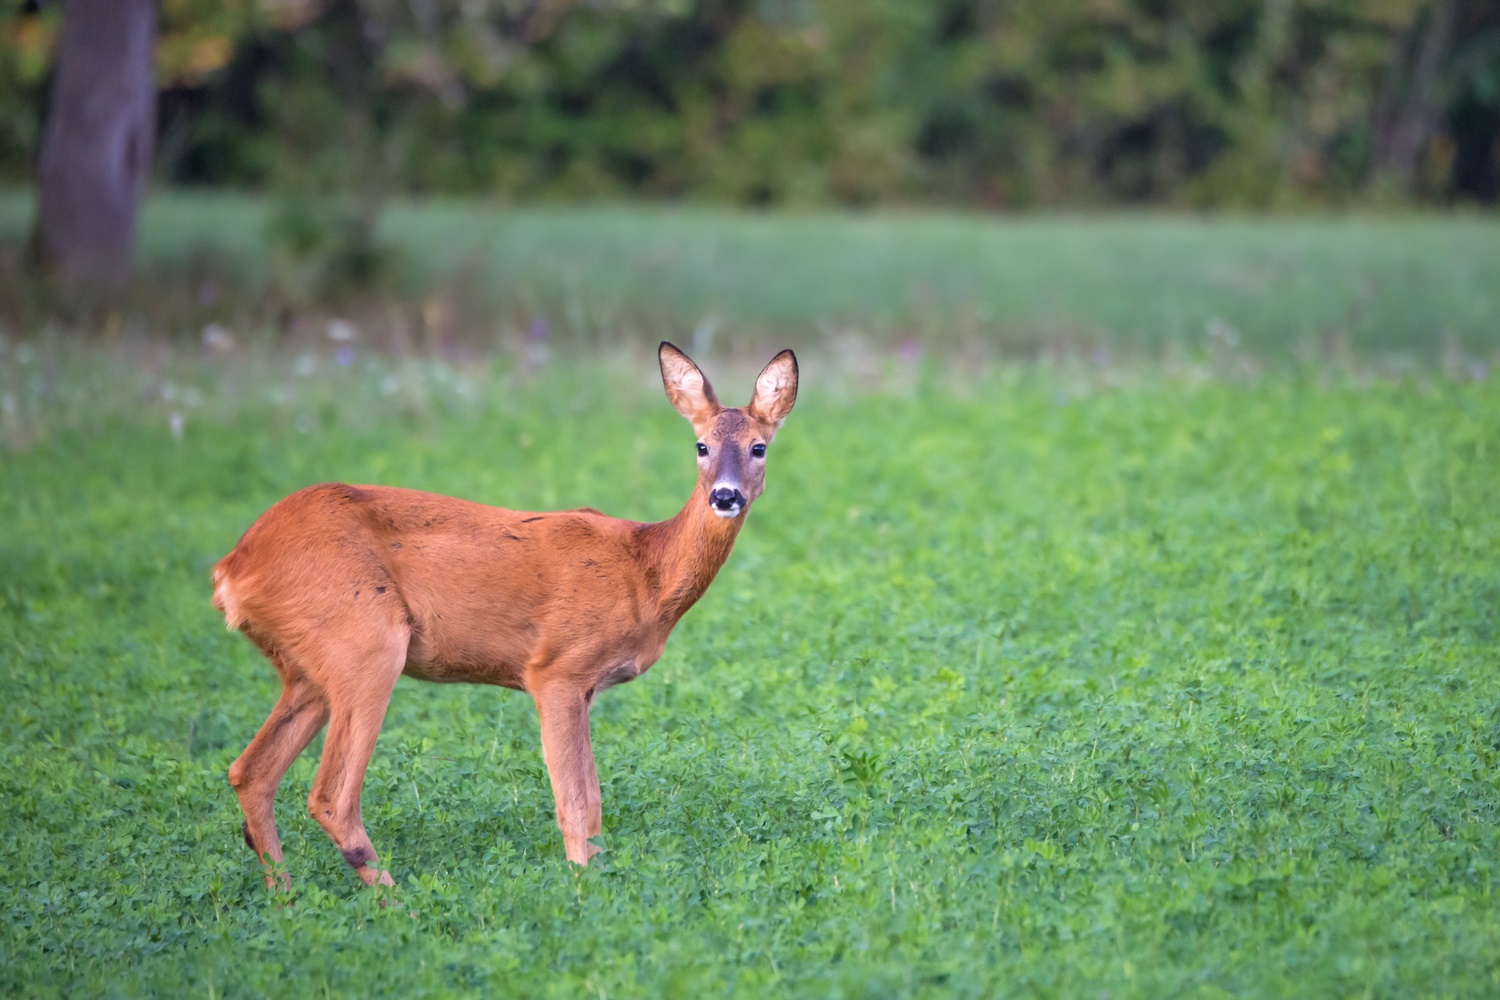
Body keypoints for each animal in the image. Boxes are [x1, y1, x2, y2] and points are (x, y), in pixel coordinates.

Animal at [214, 341, 798, 881]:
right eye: (701, 445)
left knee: (250, 772)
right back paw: (400, 903)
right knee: (331, 795)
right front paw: (583, 890)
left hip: (307, 668)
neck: (644, 571)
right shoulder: (556, 670)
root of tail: (231, 568)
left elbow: (593, 804)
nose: (724, 497)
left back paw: (286, 897)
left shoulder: (587, 687)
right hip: (366, 641)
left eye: (759, 447)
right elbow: (576, 804)